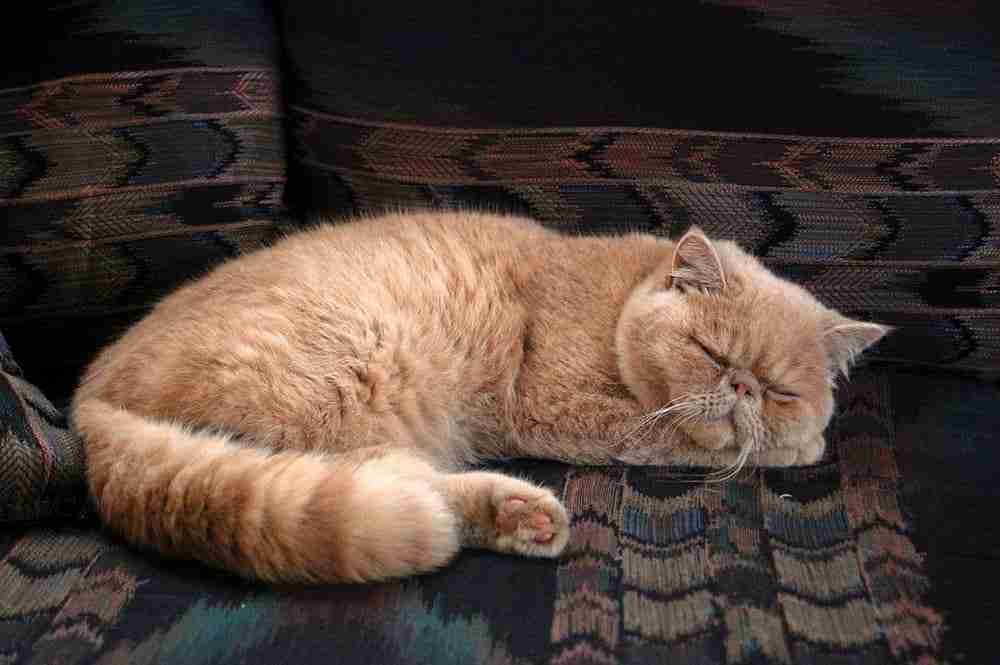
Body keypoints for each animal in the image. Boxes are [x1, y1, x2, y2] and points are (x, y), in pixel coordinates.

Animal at [72, 210, 892, 584]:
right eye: (712, 354)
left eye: (780, 389)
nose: (743, 387)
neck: (617, 297)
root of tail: (88, 398)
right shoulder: (558, 406)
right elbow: (671, 436)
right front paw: (794, 447)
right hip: (347, 379)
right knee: (372, 482)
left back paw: (516, 516)